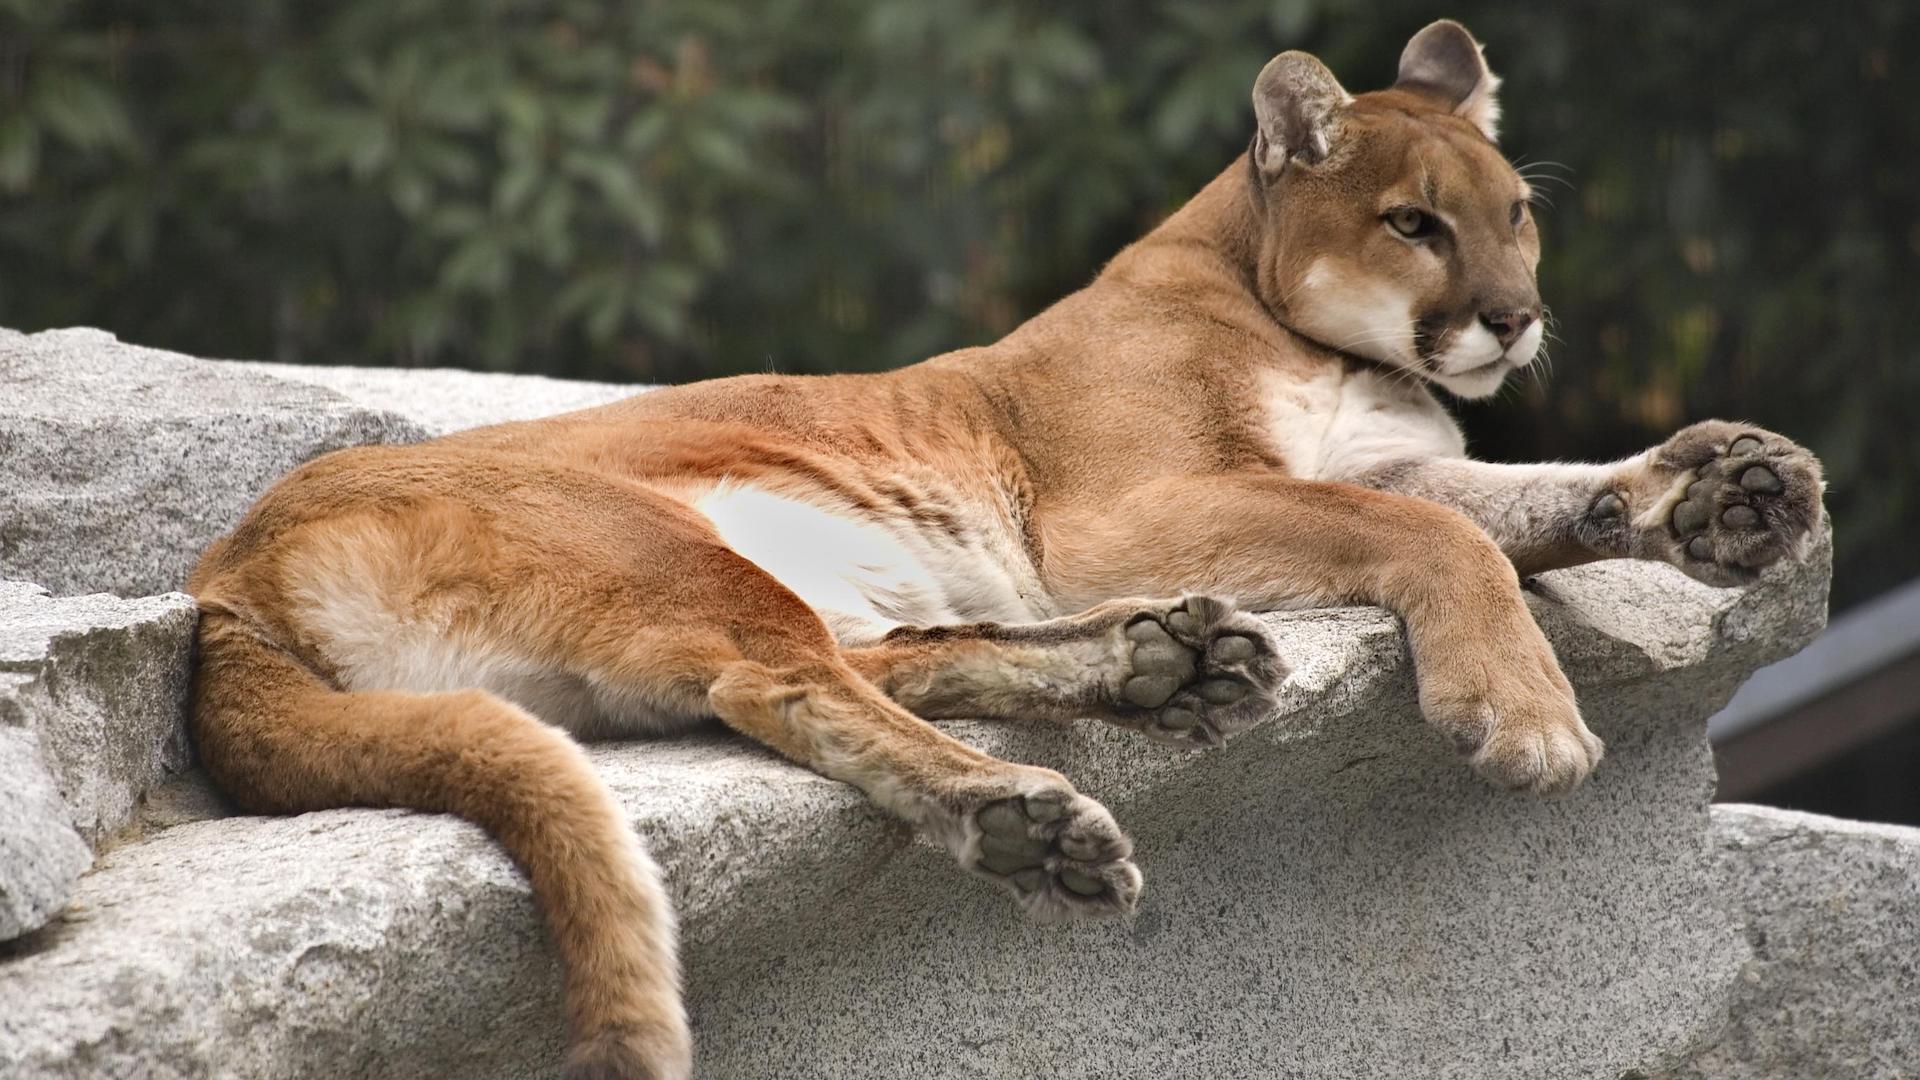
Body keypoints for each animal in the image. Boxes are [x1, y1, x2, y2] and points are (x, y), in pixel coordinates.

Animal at [187, 18, 1820, 1076]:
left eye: (1517, 214)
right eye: (1417, 223)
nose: (1513, 316)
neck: (1317, 332)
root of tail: (218, 578)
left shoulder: (1379, 456)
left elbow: (1521, 497)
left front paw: (1719, 493)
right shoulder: (1132, 509)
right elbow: (1432, 533)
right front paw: (1527, 712)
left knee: (897, 657)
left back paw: (1163, 669)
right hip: (662, 546)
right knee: (790, 683)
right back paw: (1032, 813)